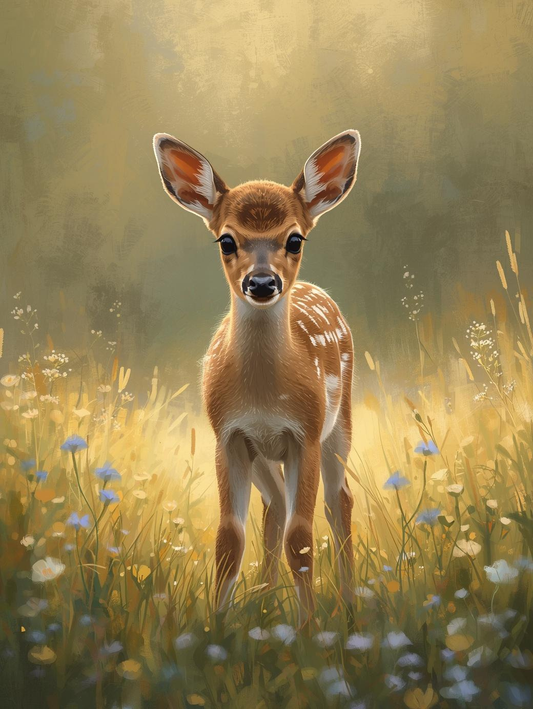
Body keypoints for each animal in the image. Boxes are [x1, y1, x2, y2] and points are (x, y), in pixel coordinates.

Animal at [153, 129, 361, 624]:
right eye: (226, 241)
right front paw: (218, 627)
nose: (262, 283)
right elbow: (229, 538)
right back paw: (265, 603)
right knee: (275, 506)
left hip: (339, 422)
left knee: (338, 501)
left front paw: (308, 630)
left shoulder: (304, 433)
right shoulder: (228, 435)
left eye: (295, 239)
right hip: (265, 455)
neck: (263, 397)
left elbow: (301, 538)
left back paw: (349, 605)